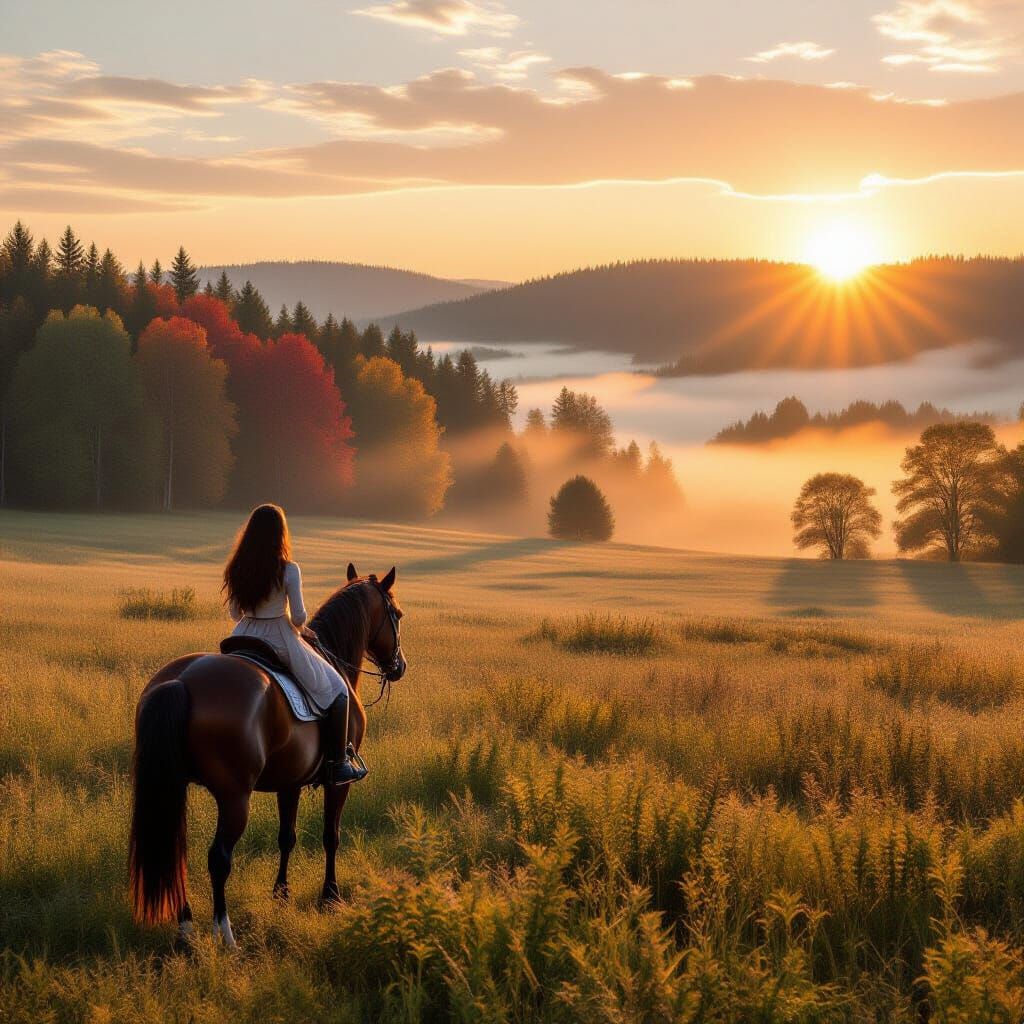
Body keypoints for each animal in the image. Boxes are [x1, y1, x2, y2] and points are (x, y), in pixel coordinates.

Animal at [128, 563, 406, 948]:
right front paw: (330, 897)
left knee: (177, 850)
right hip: (234, 797)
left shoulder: (290, 781)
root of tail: (181, 681)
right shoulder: (338, 783)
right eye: (397, 614)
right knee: (219, 858)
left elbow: (286, 836)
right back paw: (225, 934)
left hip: (175, 785)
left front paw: (281, 894)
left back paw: (186, 930)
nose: (399, 666)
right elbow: (330, 835)